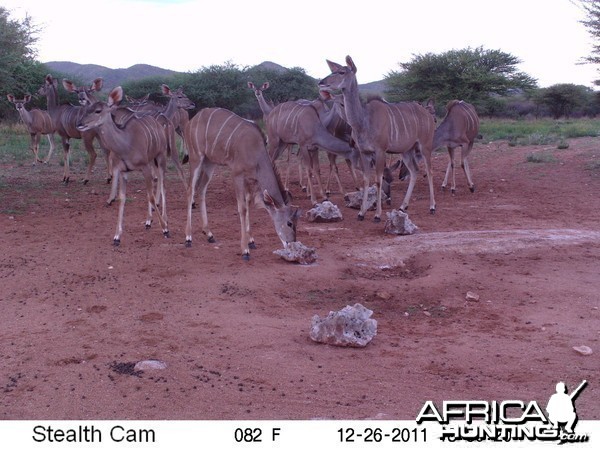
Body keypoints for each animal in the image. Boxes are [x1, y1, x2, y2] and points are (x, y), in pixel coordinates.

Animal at [76, 87, 172, 246]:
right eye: (87, 109)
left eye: (98, 111)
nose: (79, 124)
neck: (126, 143)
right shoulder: (123, 172)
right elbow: (122, 199)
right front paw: (116, 237)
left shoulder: (144, 167)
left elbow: (151, 196)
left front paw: (165, 229)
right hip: (152, 161)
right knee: (156, 183)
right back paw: (148, 222)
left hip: (161, 156)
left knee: (162, 184)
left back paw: (163, 219)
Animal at [184, 106, 298, 260]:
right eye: (289, 223)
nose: (292, 243)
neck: (256, 151)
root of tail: (191, 121)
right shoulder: (237, 175)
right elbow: (242, 208)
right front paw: (245, 250)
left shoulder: (251, 180)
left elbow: (248, 204)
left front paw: (251, 241)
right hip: (196, 157)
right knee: (190, 190)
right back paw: (188, 238)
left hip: (210, 162)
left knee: (201, 189)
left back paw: (209, 234)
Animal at [318, 55, 436, 221]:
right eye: (332, 71)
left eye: (341, 72)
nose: (321, 82)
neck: (363, 120)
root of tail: (428, 115)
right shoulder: (364, 152)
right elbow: (366, 179)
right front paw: (361, 213)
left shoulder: (380, 150)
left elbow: (378, 179)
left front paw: (377, 215)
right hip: (406, 150)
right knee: (414, 171)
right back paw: (403, 206)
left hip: (425, 145)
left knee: (429, 171)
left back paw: (432, 207)